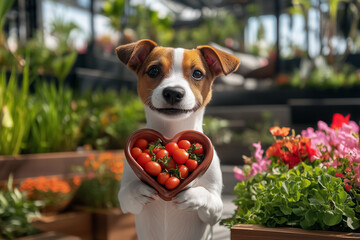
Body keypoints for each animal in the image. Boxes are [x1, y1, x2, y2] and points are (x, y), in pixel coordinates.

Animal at [116, 39, 240, 240]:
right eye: (153, 70)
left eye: (197, 73)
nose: (173, 92)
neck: (172, 129)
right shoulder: (126, 202)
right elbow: (128, 193)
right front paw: (141, 190)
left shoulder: (216, 209)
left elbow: (207, 196)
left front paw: (192, 196)